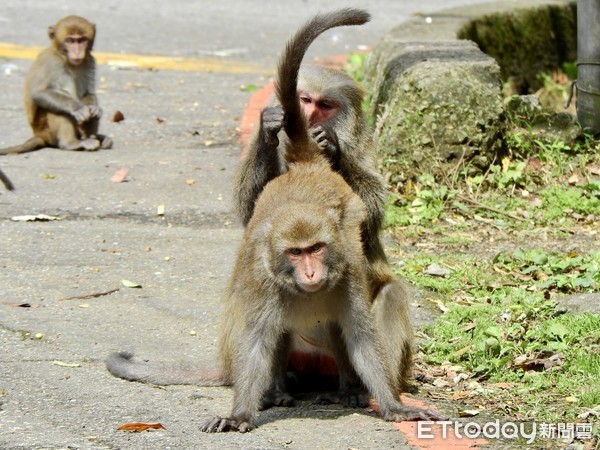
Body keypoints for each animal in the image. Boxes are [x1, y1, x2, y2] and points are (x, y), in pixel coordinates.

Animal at [0, 14, 112, 156]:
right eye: (70, 41)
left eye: (82, 40)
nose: (77, 52)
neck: (64, 58)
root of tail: (40, 136)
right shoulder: (50, 62)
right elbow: (39, 93)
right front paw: (77, 108)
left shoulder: (90, 61)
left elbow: (88, 94)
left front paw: (93, 108)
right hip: (46, 131)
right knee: (58, 108)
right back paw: (71, 144)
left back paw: (95, 137)